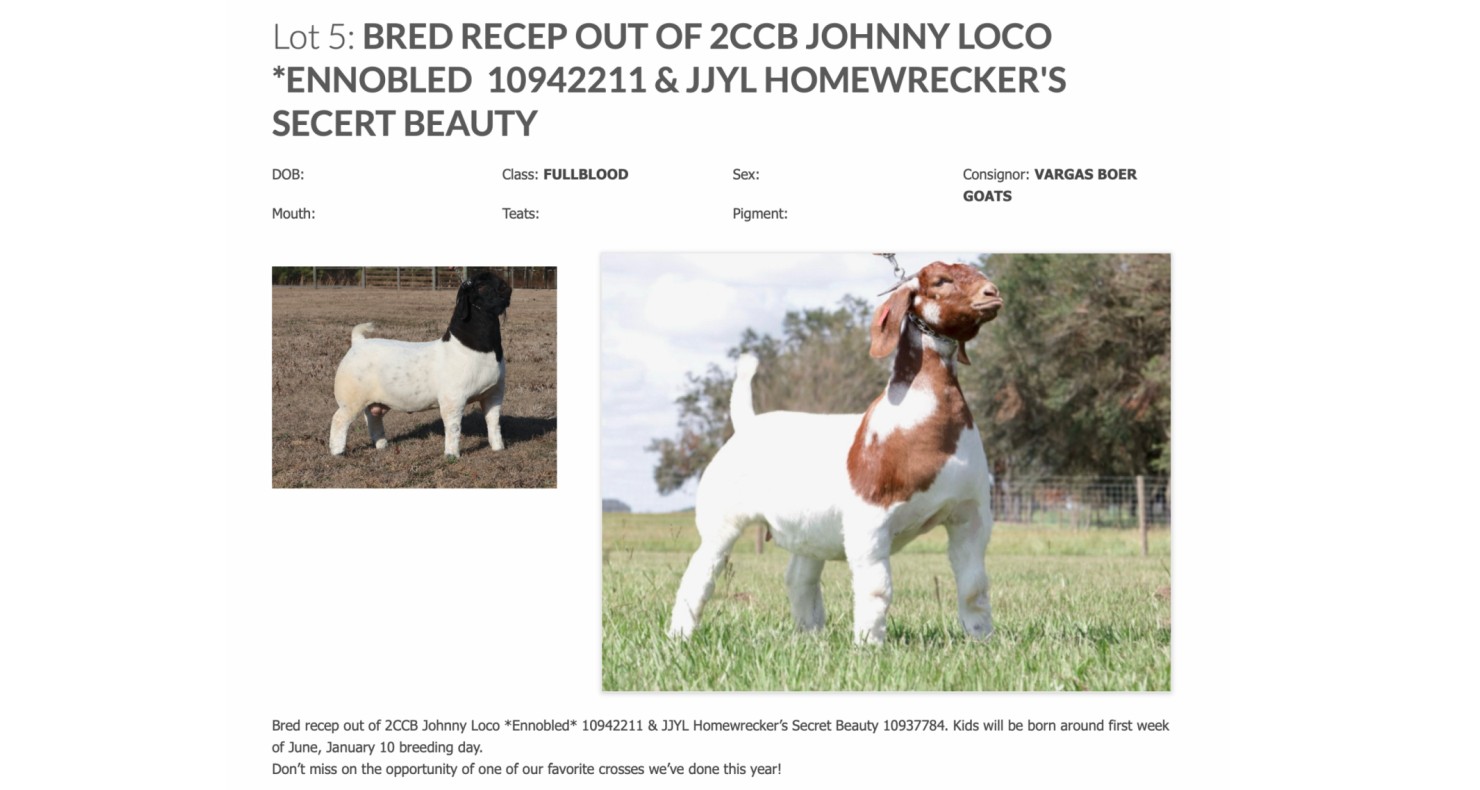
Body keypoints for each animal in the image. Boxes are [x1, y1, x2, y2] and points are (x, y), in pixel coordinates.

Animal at [329, 270, 512, 458]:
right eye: (481, 286)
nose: (506, 287)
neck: (475, 348)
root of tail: (358, 342)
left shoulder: (493, 394)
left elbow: (493, 423)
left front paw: (498, 448)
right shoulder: (453, 399)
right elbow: (453, 427)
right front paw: (452, 455)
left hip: (373, 401)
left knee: (373, 419)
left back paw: (382, 445)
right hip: (351, 398)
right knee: (339, 419)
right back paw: (337, 452)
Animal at [668, 262, 1003, 645]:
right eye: (940, 281)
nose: (992, 293)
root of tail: (747, 424)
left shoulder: (971, 515)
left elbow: (974, 587)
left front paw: (982, 639)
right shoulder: (869, 520)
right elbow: (876, 588)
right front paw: (869, 642)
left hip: (808, 526)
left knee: (800, 577)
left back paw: (810, 635)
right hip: (721, 520)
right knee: (701, 572)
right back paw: (680, 635)